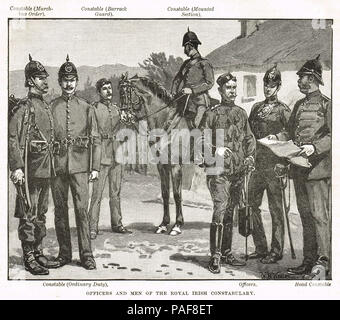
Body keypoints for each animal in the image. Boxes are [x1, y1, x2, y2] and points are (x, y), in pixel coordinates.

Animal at [117, 74, 193, 236]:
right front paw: (163, 224)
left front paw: (177, 225)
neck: (166, 122)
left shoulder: (175, 165)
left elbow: (177, 195)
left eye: (127, 93)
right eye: (120, 94)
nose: (124, 117)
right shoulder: (162, 165)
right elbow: (165, 193)